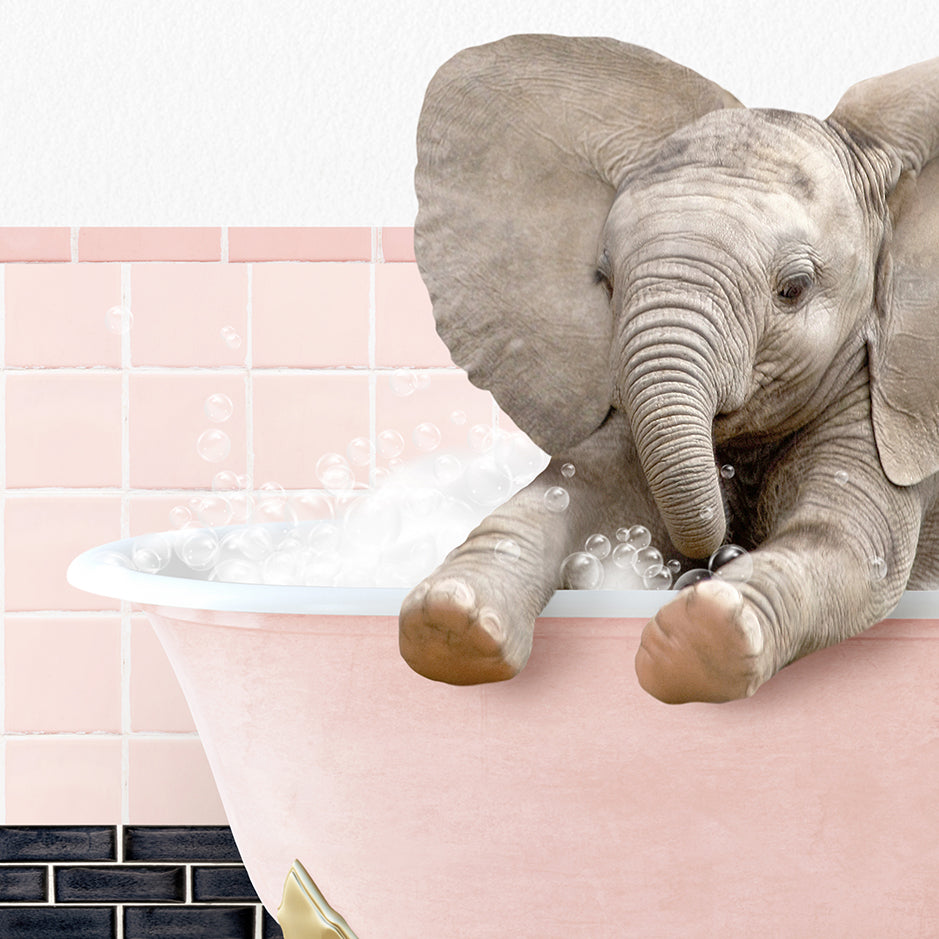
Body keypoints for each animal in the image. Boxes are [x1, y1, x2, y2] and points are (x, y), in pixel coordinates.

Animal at [398, 35, 939, 704]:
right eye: (604, 282)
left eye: (793, 289)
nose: (711, 558)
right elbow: (572, 493)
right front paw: (449, 621)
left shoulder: (895, 405)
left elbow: (849, 548)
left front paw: (701, 637)